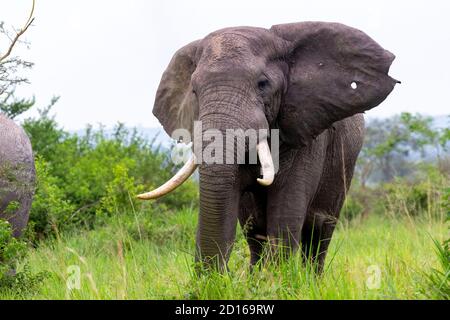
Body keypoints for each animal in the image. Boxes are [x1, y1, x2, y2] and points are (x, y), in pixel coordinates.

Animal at [138, 21, 398, 270]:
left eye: (262, 84)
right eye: (194, 90)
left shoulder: (305, 131)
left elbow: (284, 217)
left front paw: (276, 281)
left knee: (319, 234)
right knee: (254, 233)